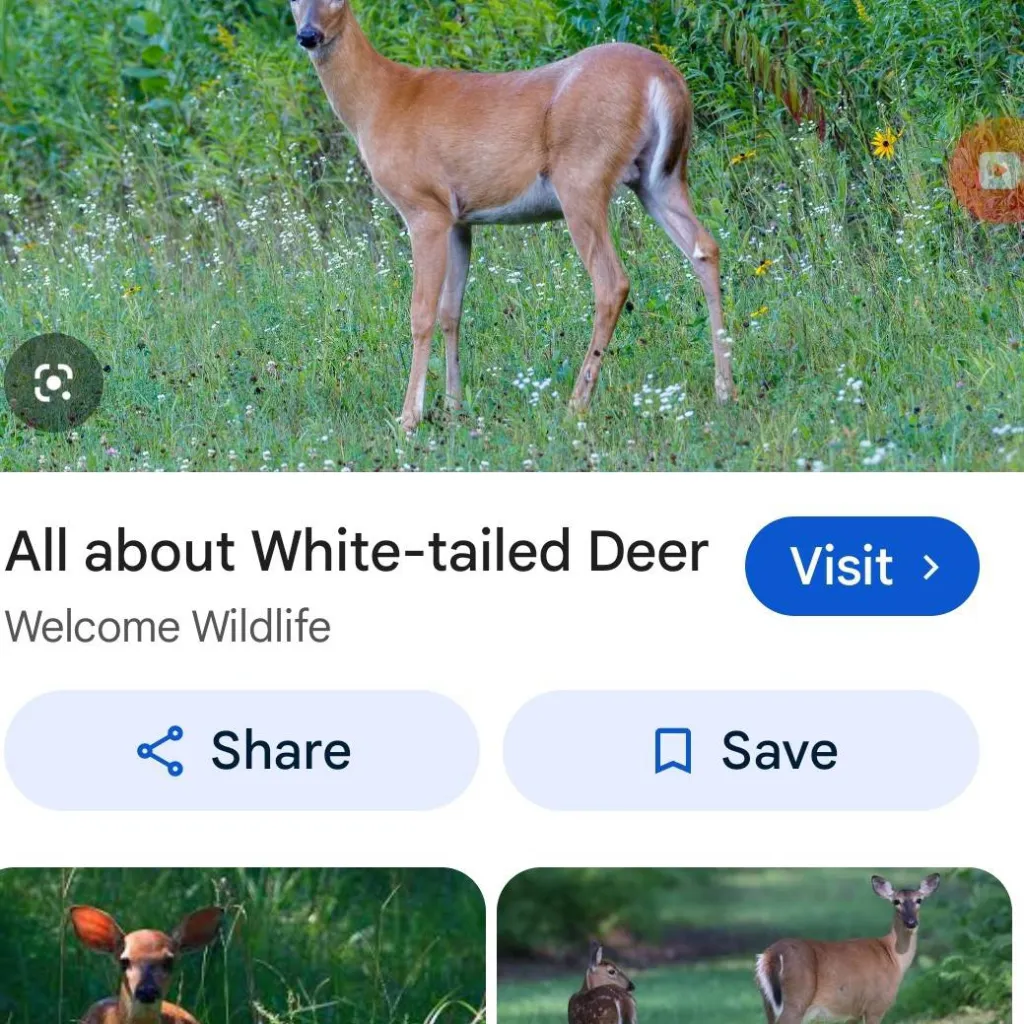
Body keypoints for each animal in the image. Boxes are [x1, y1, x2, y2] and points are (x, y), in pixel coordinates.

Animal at [289, 0, 734, 431]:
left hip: (582, 176)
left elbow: (421, 313)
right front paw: (453, 407)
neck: (379, 100)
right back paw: (723, 388)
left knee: (612, 282)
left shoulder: (425, 207)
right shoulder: (460, 220)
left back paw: (576, 404)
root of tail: (664, 77)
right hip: (660, 178)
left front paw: (409, 418)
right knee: (705, 248)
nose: (308, 35)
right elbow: (451, 311)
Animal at [755, 874, 941, 1024]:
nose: (911, 922)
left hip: (768, 1004)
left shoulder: (853, 1013)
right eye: (896, 901)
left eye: (919, 900)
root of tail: (771, 954)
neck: (893, 957)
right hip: (796, 1000)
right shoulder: (876, 1005)